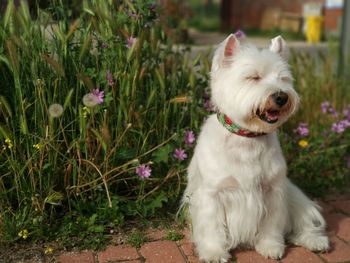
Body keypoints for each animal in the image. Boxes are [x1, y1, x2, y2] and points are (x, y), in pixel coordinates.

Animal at [182, 34, 330, 262]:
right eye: (253, 77)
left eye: (283, 78)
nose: (281, 97)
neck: (248, 138)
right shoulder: (212, 194)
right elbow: (212, 226)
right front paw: (214, 252)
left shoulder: (272, 191)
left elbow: (272, 223)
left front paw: (270, 246)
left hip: (294, 196)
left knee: (301, 224)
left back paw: (316, 241)